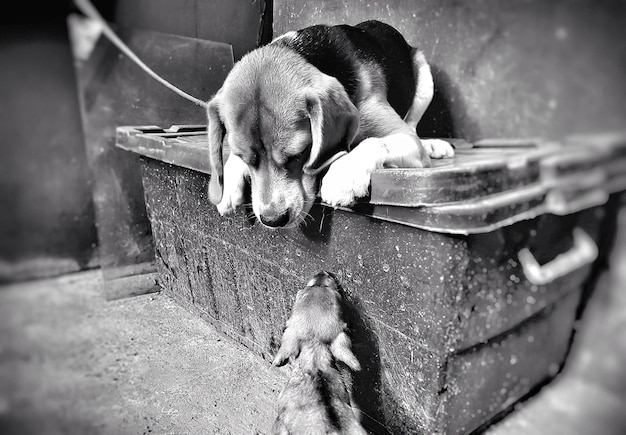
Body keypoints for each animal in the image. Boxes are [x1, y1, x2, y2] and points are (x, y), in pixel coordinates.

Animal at [207, 20, 450, 230]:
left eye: (300, 154)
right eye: (243, 157)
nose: (272, 220)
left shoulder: (406, 138)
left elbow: (375, 142)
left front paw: (344, 174)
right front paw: (228, 178)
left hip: (424, 77)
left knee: (413, 125)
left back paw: (432, 145)